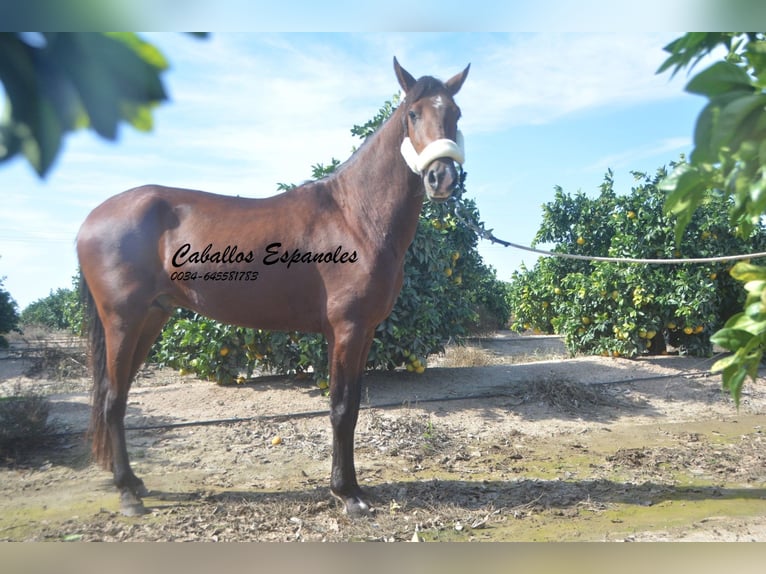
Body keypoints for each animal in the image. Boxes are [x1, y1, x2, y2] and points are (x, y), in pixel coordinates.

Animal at [81, 57, 472, 516]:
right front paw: (346, 493)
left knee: (119, 395)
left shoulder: (364, 331)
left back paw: (135, 483)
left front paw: (353, 487)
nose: (442, 178)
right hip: (123, 321)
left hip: (151, 317)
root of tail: (92, 219)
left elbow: (353, 406)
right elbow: (341, 408)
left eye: (456, 114)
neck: (356, 215)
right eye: (413, 113)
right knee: (112, 399)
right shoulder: (346, 330)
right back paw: (127, 492)